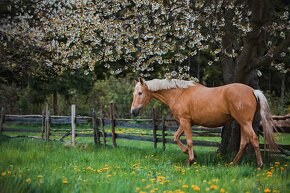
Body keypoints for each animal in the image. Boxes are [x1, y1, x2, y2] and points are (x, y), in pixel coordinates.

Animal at [130, 77, 276, 167]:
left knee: (254, 139)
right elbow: (176, 138)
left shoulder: (185, 121)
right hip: (242, 123)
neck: (179, 94)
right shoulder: (186, 123)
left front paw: (191, 160)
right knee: (244, 142)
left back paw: (259, 165)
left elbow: (189, 141)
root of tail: (253, 90)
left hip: (245, 122)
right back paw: (233, 164)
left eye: (140, 93)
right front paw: (192, 155)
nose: (133, 111)